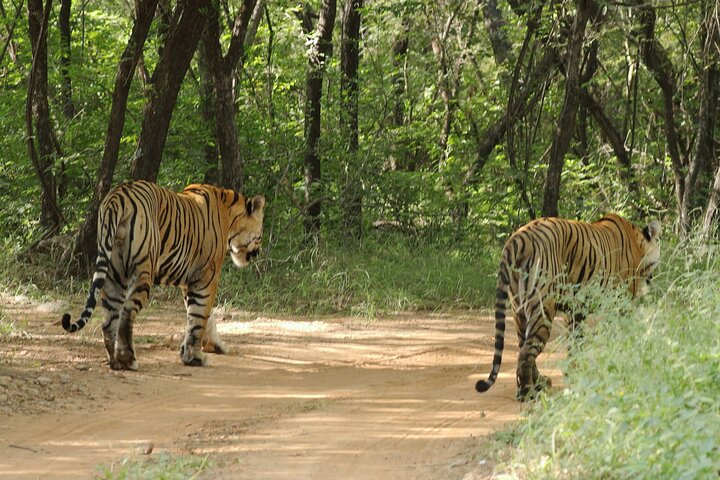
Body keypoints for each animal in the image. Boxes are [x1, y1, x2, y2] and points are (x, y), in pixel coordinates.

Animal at [61, 180, 265, 371]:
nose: (258, 253)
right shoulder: (206, 277)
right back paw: (127, 359)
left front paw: (210, 347)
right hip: (143, 269)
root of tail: (117, 196)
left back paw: (115, 361)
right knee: (126, 311)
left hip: (113, 272)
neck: (229, 212)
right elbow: (200, 316)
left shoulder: (189, 281)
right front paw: (195, 357)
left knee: (109, 319)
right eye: (260, 235)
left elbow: (202, 317)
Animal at [475, 214, 661, 401]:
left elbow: (575, 343)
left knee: (523, 344)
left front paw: (575, 374)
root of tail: (518, 239)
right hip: (542, 307)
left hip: (518, 309)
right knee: (526, 352)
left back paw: (540, 383)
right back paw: (527, 392)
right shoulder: (620, 303)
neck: (637, 242)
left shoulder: (574, 311)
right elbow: (619, 336)